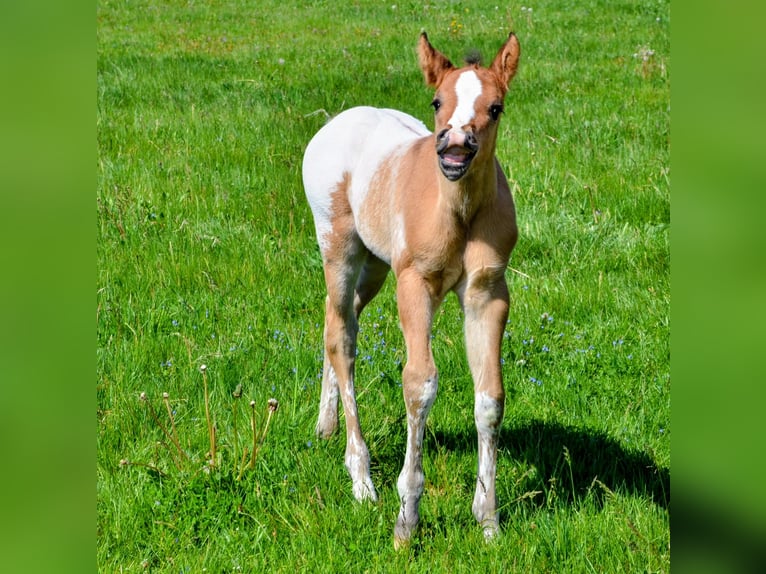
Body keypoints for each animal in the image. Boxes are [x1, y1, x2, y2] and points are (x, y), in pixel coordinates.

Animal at [302, 31, 520, 547]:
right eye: (437, 101)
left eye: (496, 107)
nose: (456, 149)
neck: (457, 212)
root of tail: (339, 120)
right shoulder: (415, 285)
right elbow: (420, 384)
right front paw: (407, 520)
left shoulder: (487, 294)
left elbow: (490, 397)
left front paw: (488, 520)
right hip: (340, 248)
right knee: (342, 338)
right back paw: (361, 479)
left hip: (375, 266)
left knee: (335, 320)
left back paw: (325, 427)